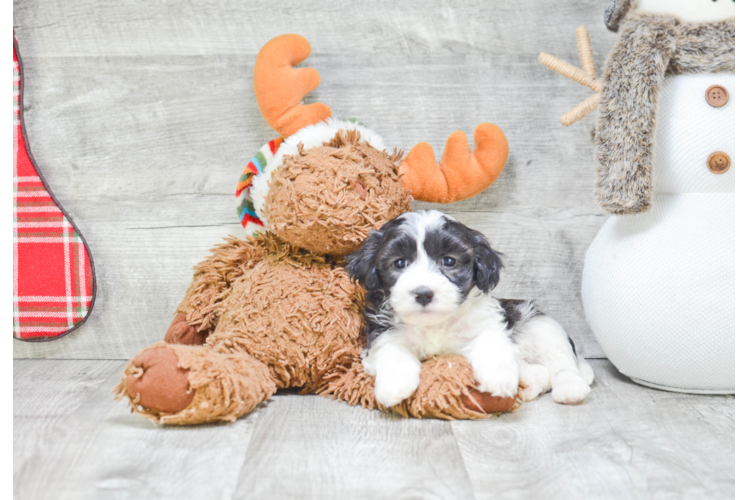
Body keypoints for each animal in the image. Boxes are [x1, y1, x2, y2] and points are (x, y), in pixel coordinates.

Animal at [346, 209, 596, 408]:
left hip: (541, 326)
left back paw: (570, 388)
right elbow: (392, 349)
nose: (424, 293)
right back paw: (528, 384)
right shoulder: (381, 333)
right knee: (542, 373)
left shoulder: (486, 321)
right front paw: (394, 384)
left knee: (561, 363)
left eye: (449, 261)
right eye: (400, 263)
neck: (436, 322)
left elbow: (490, 339)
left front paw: (499, 377)